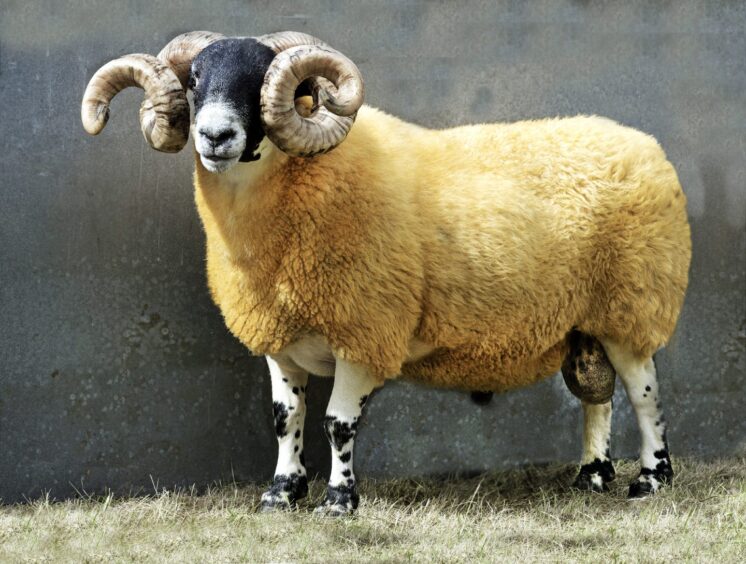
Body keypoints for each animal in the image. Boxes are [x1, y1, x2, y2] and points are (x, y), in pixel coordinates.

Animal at [83, 30, 692, 516]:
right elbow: (286, 417)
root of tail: (647, 147)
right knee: (597, 398)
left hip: (632, 304)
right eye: (195, 81)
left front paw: (338, 501)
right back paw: (591, 477)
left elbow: (337, 423)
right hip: (584, 322)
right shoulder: (278, 336)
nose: (214, 137)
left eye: (261, 84)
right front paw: (281, 494)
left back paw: (651, 478)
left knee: (644, 394)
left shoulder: (364, 329)